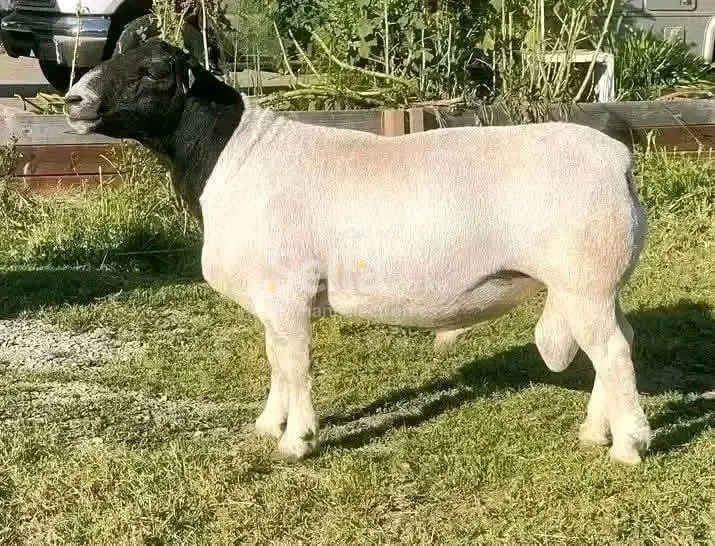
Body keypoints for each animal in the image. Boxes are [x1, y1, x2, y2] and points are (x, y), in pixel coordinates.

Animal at [64, 38, 651, 464]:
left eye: (153, 72)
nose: (72, 102)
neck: (234, 157)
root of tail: (616, 159)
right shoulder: (273, 298)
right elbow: (276, 361)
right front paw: (267, 425)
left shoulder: (287, 289)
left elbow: (294, 364)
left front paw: (297, 442)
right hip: (600, 284)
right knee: (619, 342)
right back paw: (595, 432)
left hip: (585, 277)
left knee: (613, 353)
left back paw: (628, 447)